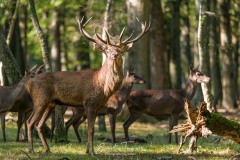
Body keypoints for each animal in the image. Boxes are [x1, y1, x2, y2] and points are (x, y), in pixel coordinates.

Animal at [24, 17, 150, 155]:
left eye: (120, 50)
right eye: (107, 50)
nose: (114, 55)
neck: (103, 86)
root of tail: (28, 84)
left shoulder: (97, 106)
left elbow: (91, 128)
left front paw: (87, 151)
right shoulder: (90, 103)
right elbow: (91, 130)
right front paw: (93, 153)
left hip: (50, 103)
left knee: (38, 124)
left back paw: (47, 149)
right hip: (40, 99)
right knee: (30, 122)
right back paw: (31, 149)